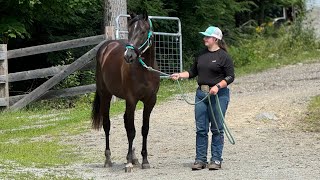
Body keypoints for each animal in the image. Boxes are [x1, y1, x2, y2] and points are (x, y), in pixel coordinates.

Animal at [91, 11, 160, 172]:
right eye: (129, 31)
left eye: (143, 31)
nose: (128, 56)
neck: (144, 71)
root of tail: (107, 46)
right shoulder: (131, 100)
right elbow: (131, 131)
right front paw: (128, 163)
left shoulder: (150, 101)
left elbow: (144, 129)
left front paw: (144, 160)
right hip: (106, 95)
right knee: (107, 124)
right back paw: (108, 159)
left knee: (124, 122)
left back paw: (133, 157)